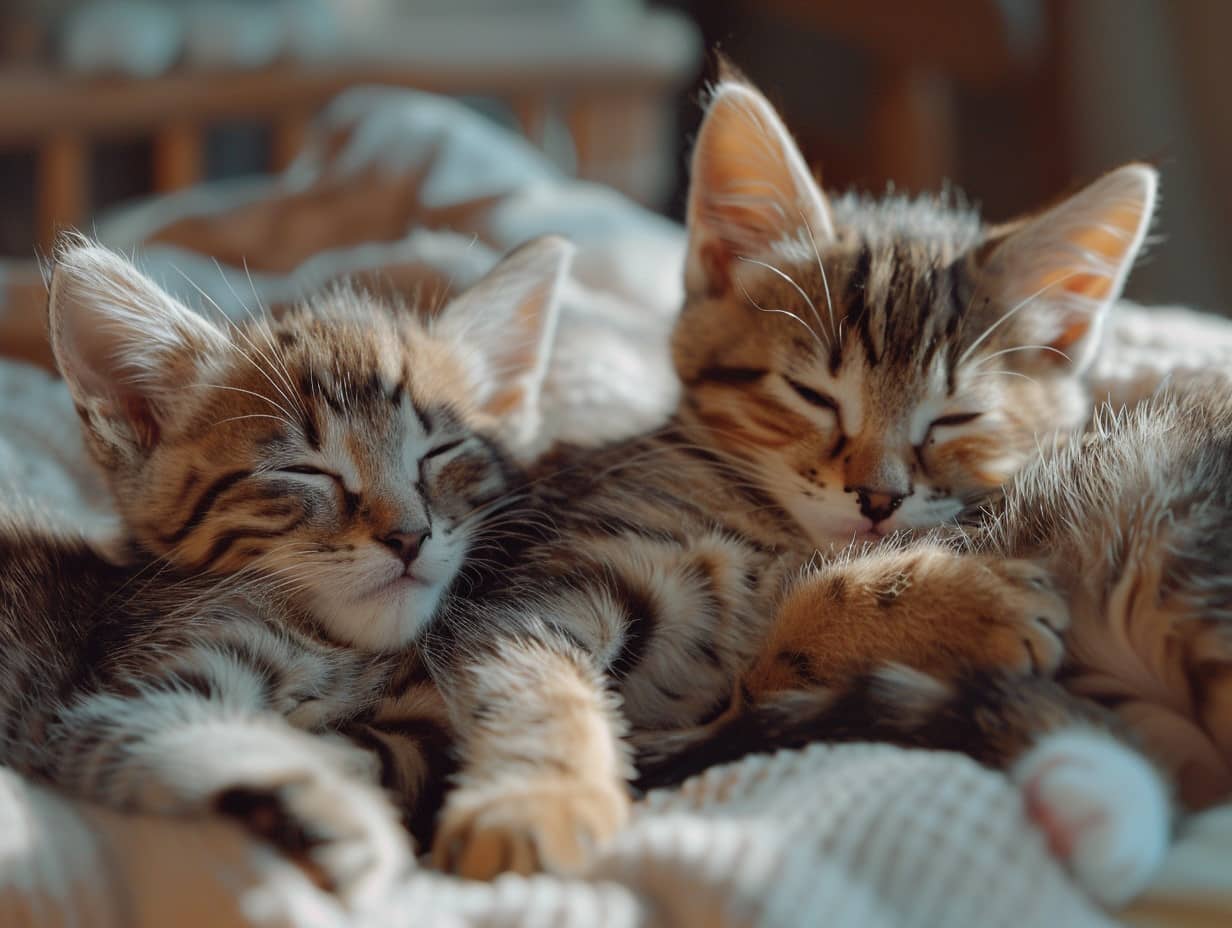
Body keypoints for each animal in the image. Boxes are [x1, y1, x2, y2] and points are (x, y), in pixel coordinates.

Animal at [0, 232, 566, 907]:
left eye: (441, 453)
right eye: (305, 471)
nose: (409, 536)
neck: (345, 649)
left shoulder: (416, 726)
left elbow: (379, 751)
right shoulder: (114, 701)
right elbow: (231, 736)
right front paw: (333, 810)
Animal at [428, 77, 1167, 907]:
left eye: (957, 419)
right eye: (813, 396)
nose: (878, 499)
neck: (766, 526)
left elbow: (782, 643)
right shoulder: (544, 586)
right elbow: (534, 680)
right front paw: (536, 801)